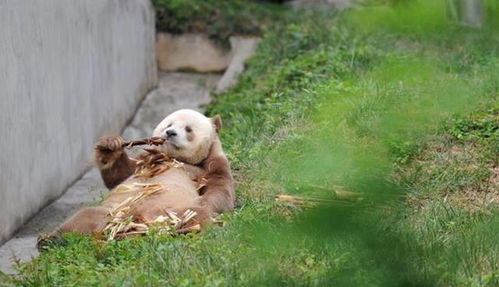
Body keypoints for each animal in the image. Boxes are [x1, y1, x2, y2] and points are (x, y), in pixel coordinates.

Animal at [55, 109, 235, 237]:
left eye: (188, 129)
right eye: (168, 124)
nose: (170, 133)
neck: (173, 158)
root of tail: (136, 221)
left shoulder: (211, 164)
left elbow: (219, 190)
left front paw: (208, 203)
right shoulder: (146, 160)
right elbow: (120, 176)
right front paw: (110, 146)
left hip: (172, 211)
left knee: (195, 215)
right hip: (114, 210)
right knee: (84, 217)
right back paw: (55, 238)